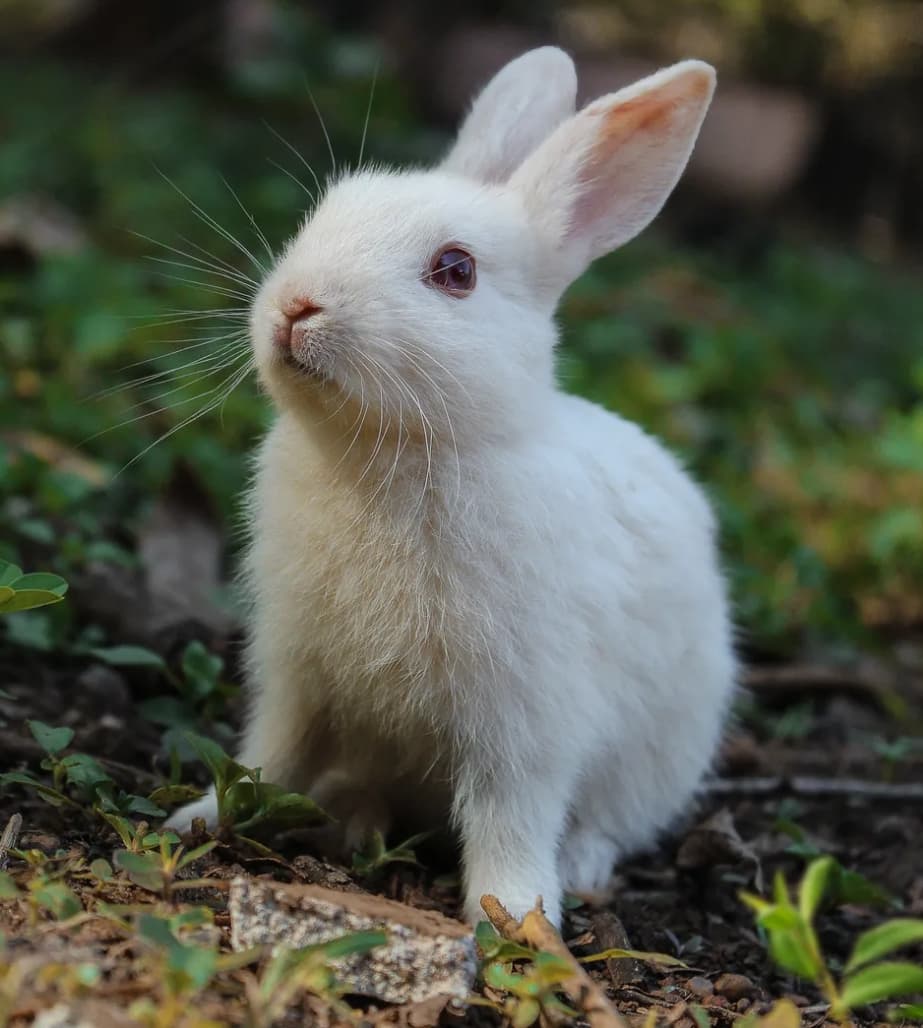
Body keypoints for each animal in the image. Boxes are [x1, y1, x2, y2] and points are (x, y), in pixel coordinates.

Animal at [167, 46, 736, 928]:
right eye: (323, 214)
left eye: (455, 271)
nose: (296, 306)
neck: (392, 453)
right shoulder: (296, 673)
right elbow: (269, 754)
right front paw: (199, 818)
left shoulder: (524, 718)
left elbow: (511, 813)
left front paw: (516, 916)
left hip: (661, 753)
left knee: (608, 821)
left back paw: (579, 867)